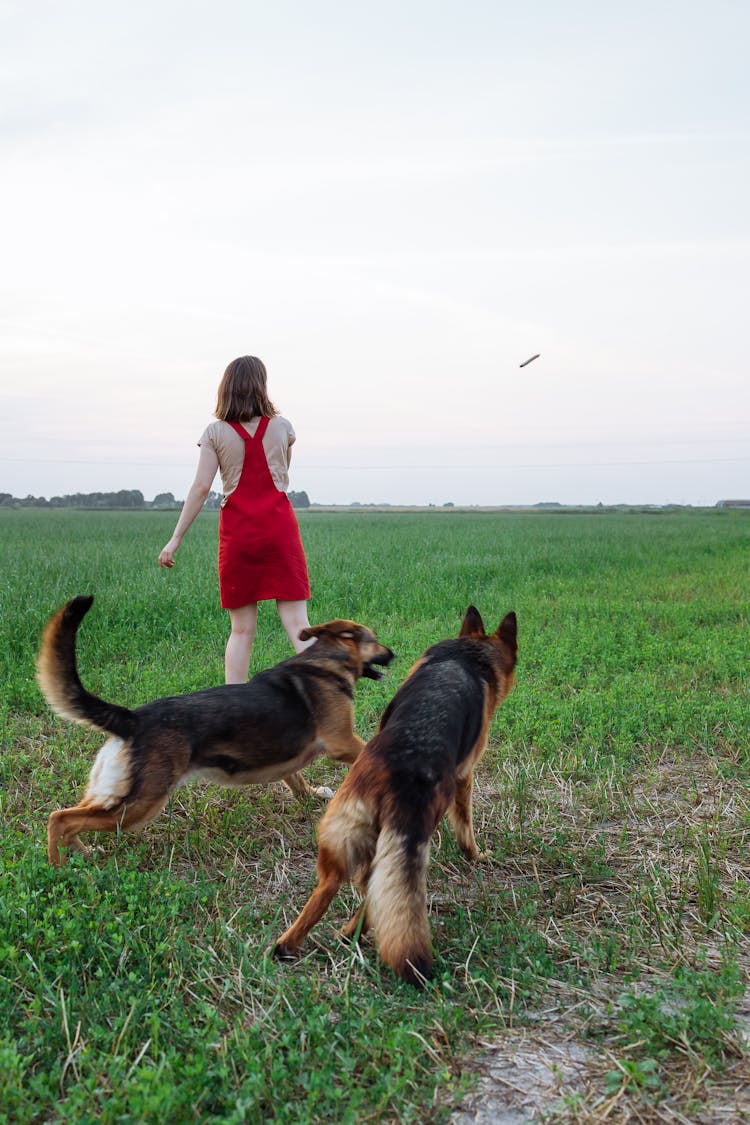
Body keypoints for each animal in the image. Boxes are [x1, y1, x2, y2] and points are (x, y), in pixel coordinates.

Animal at [38, 598, 395, 868]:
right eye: (375, 639)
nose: (393, 654)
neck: (325, 660)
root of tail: (133, 719)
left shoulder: (289, 756)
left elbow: (297, 781)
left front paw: (312, 797)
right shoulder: (342, 742)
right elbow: (367, 750)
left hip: (113, 793)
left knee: (71, 818)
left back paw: (81, 854)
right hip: (140, 805)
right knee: (60, 819)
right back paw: (59, 867)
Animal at [274, 607, 517, 985]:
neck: (468, 653)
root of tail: (403, 771)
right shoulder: (466, 776)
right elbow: (466, 826)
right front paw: (475, 855)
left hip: (340, 838)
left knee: (342, 889)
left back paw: (295, 943)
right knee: (371, 899)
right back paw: (349, 935)